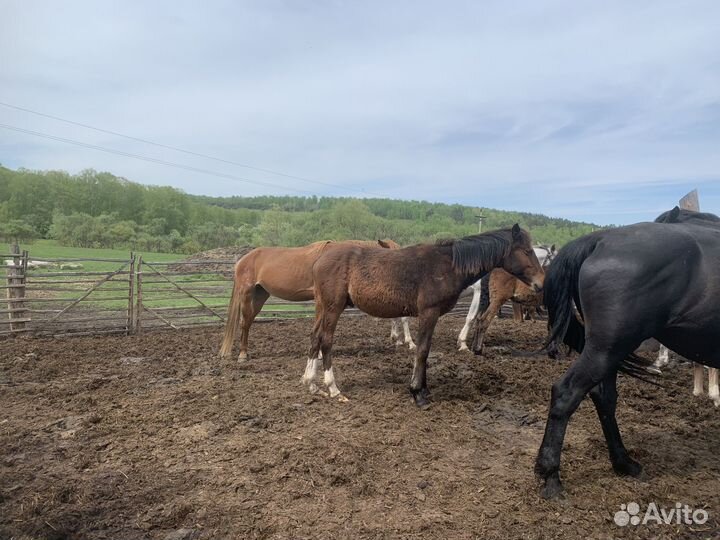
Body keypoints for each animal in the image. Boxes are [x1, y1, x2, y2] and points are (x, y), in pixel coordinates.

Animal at [218, 239, 415, 361]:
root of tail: (242, 260)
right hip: (247, 294)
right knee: (244, 323)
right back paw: (242, 355)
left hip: (260, 295)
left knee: (249, 321)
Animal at [302, 225, 544, 408]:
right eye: (526, 250)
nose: (541, 283)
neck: (447, 266)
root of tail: (318, 260)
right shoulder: (429, 312)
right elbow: (422, 350)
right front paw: (417, 393)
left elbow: (425, 351)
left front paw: (424, 390)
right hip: (333, 307)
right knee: (326, 340)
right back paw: (333, 388)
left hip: (322, 307)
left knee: (315, 337)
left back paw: (312, 384)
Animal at [537, 207, 720, 499]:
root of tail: (600, 239)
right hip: (606, 349)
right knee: (566, 394)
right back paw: (551, 477)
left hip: (609, 352)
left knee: (604, 398)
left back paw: (623, 462)